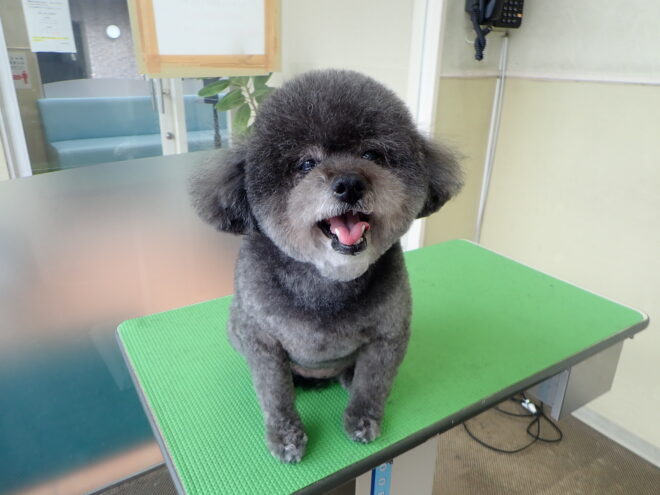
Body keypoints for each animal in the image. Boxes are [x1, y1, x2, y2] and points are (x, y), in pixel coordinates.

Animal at [191, 69, 462, 463]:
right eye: (306, 164)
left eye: (371, 154)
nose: (349, 184)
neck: (326, 281)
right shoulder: (260, 341)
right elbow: (276, 395)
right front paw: (286, 436)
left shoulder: (389, 335)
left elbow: (373, 383)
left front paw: (363, 419)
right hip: (235, 328)